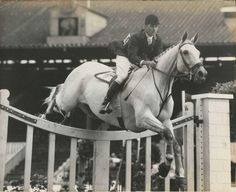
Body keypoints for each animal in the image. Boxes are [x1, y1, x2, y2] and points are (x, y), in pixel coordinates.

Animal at [43, 32, 207, 189]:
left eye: (198, 52)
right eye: (185, 52)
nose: (202, 73)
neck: (159, 84)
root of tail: (80, 66)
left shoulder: (165, 120)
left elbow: (174, 141)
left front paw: (177, 173)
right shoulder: (143, 119)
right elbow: (167, 134)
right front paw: (166, 168)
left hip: (87, 109)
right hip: (68, 100)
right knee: (58, 92)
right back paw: (46, 115)